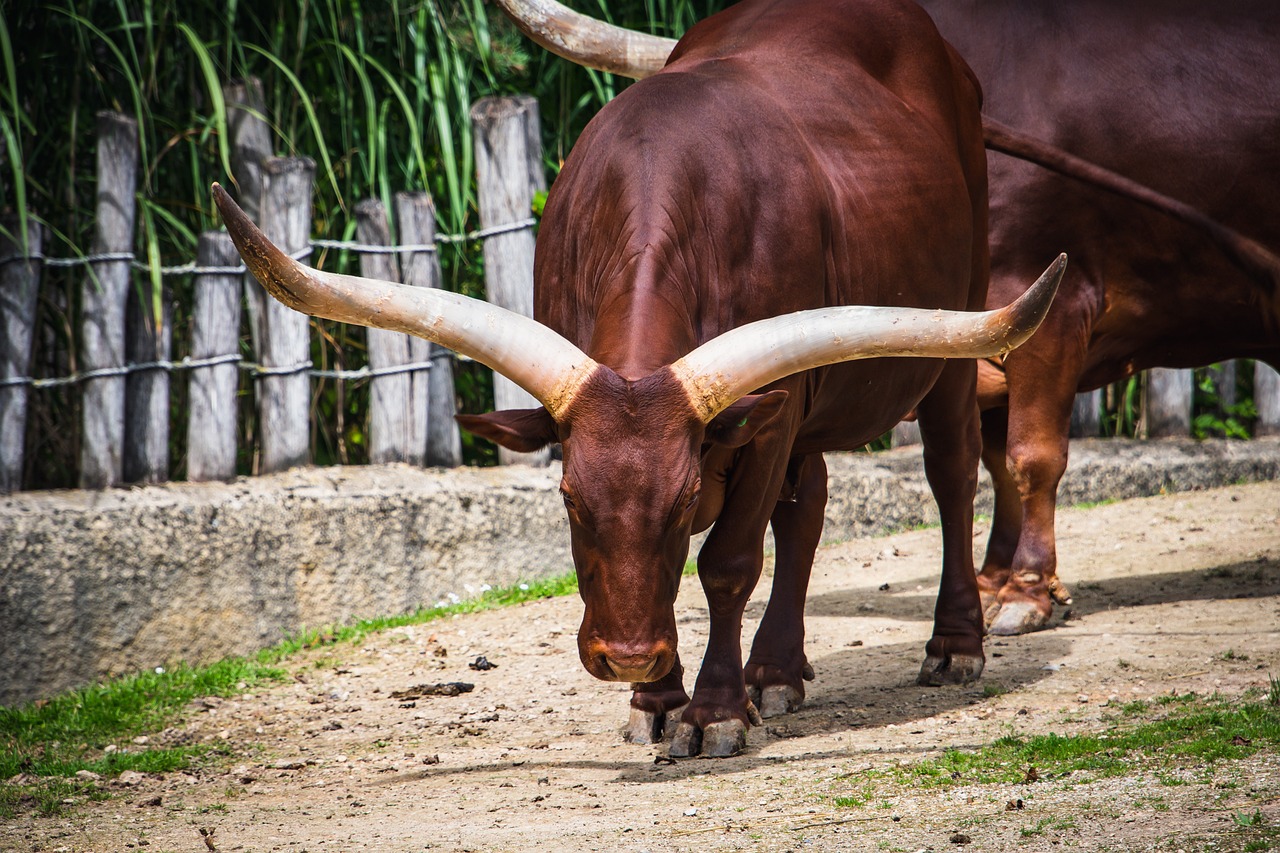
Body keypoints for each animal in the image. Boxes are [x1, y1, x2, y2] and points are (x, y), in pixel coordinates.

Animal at [215, 0, 1064, 753]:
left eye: (685, 496)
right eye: (567, 495)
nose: (625, 655)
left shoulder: (768, 420)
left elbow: (726, 562)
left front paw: (712, 712)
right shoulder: (759, 413)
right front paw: (657, 699)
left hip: (953, 326)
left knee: (950, 470)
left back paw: (954, 643)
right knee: (810, 505)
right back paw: (776, 671)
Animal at [921, 0, 1280, 627]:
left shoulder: (1054, 304)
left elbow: (1031, 457)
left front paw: (1026, 588)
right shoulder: (985, 334)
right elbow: (996, 461)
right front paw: (991, 582)